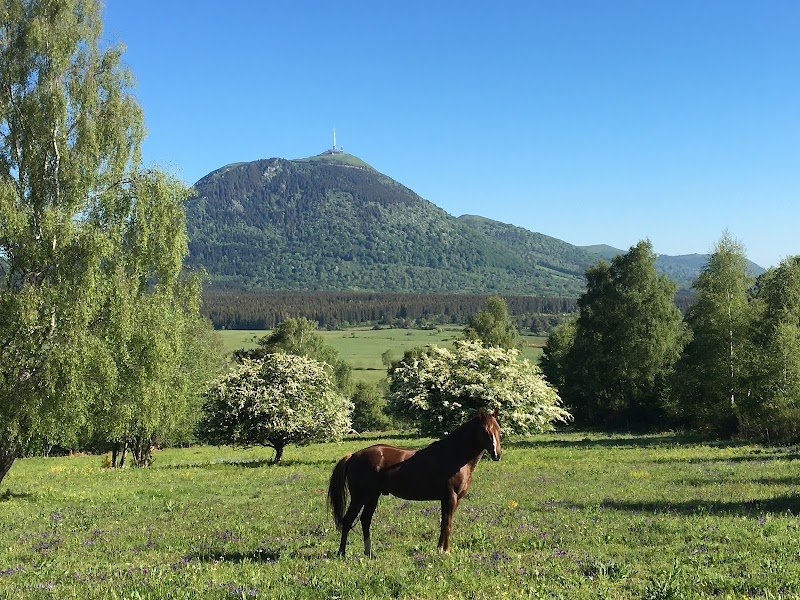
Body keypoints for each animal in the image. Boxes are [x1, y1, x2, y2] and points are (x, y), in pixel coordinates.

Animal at [327, 409, 501, 557]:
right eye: (485, 430)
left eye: (498, 429)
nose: (497, 454)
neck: (455, 456)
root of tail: (354, 456)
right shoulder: (450, 497)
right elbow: (447, 524)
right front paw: (445, 551)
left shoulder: (452, 499)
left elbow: (445, 523)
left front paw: (441, 549)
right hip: (360, 497)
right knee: (347, 521)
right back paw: (341, 553)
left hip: (372, 497)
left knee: (365, 520)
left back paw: (369, 553)